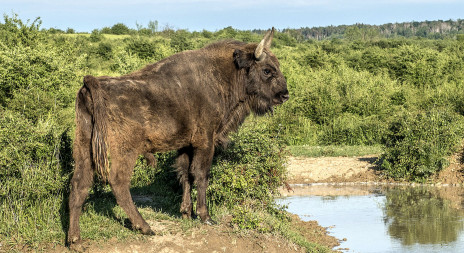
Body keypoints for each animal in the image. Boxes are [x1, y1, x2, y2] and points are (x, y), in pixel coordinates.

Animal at [67, 28, 288, 247]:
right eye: (267, 70)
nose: (284, 95)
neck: (221, 75)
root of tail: (93, 83)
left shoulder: (186, 145)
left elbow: (185, 174)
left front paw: (185, 213)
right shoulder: (205, 142)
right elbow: (201, 174)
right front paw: (205, 216)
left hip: (84, 146)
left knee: (79, 184)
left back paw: (75, 239)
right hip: (125, 152)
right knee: (118, 183)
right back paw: (145, 227)